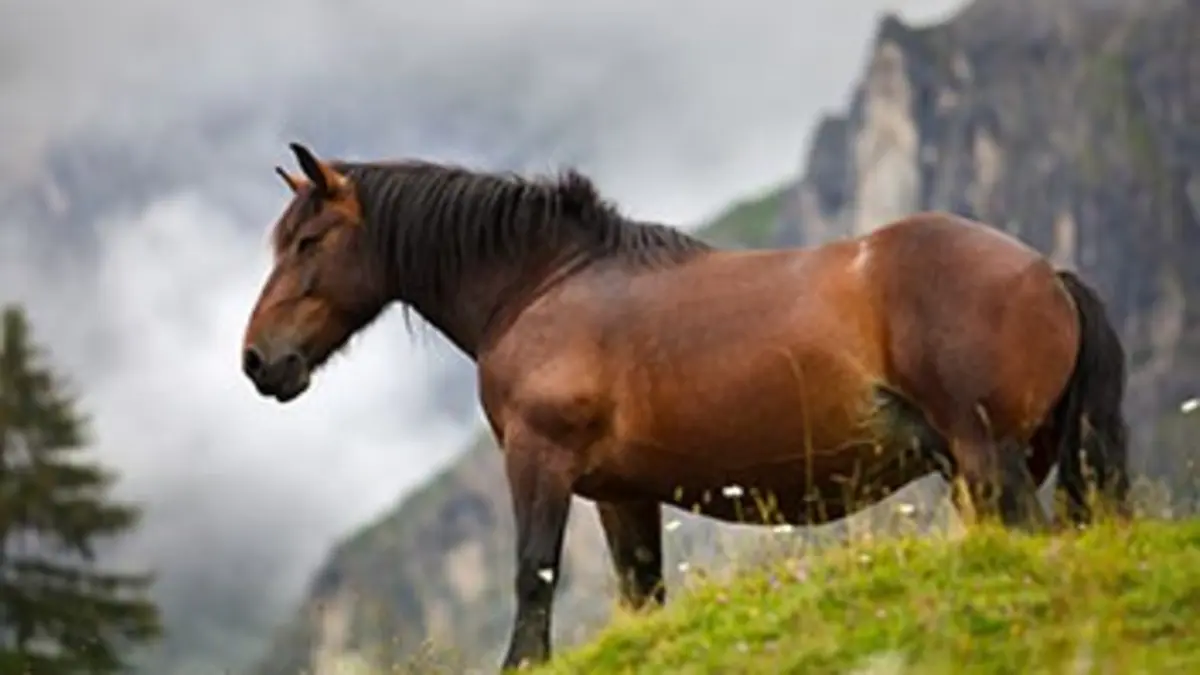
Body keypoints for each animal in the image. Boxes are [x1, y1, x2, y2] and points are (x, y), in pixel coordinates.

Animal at [240, 143, 1130, 671]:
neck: (545, 285)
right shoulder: (622, 494)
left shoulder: (540, 462)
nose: (258, 360)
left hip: (990, 461)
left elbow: (534, 573)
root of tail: (1047, 273)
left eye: (309, 242)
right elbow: (641, 597)